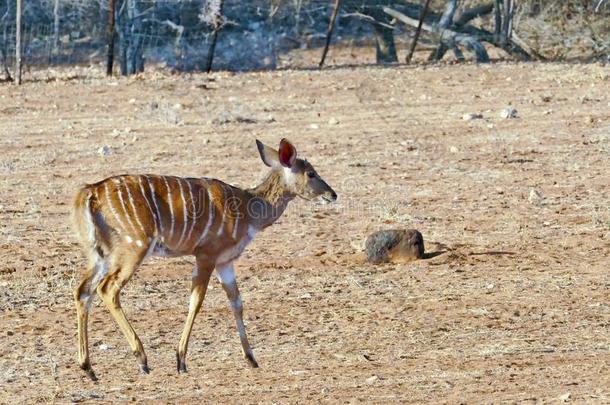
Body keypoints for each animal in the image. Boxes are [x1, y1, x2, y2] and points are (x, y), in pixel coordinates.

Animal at [73, 139, 338, 378]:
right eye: (311, 173)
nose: (332, 194)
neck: (247, 208)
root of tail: (90, 192)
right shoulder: (206, 254)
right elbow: (196, 301)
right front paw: (181, 361)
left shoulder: (225, 261)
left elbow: (237, 303)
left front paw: (251, 359)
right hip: (133, 249)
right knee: (107, 289)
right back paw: (142, 360)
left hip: (100, 254)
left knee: (83, 290)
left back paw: (88, 368)